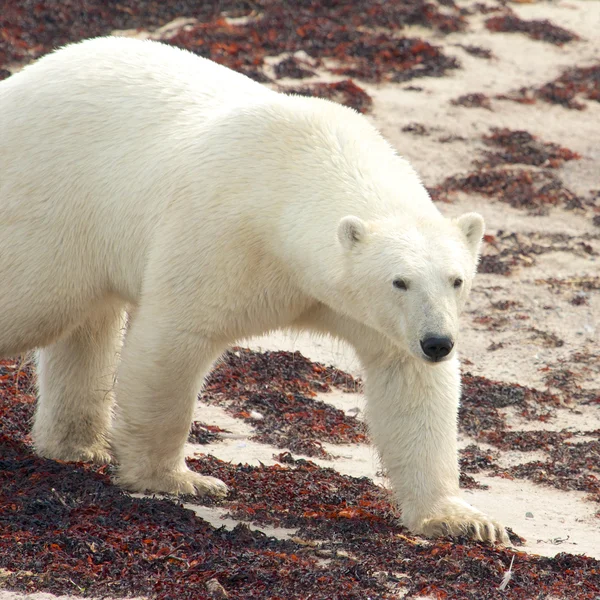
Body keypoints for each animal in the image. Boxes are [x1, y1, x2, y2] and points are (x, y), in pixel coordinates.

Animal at [0, 36, 506, 544]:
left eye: (457, 279)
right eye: (399, 280)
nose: (438, 342)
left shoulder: (373, 317)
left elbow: (411, 385)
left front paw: (463, 520)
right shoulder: (222, 236)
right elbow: (174, 339)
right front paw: (179, 478)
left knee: (87, 330)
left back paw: (78, 445)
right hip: (53, 203)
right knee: (34, 304)